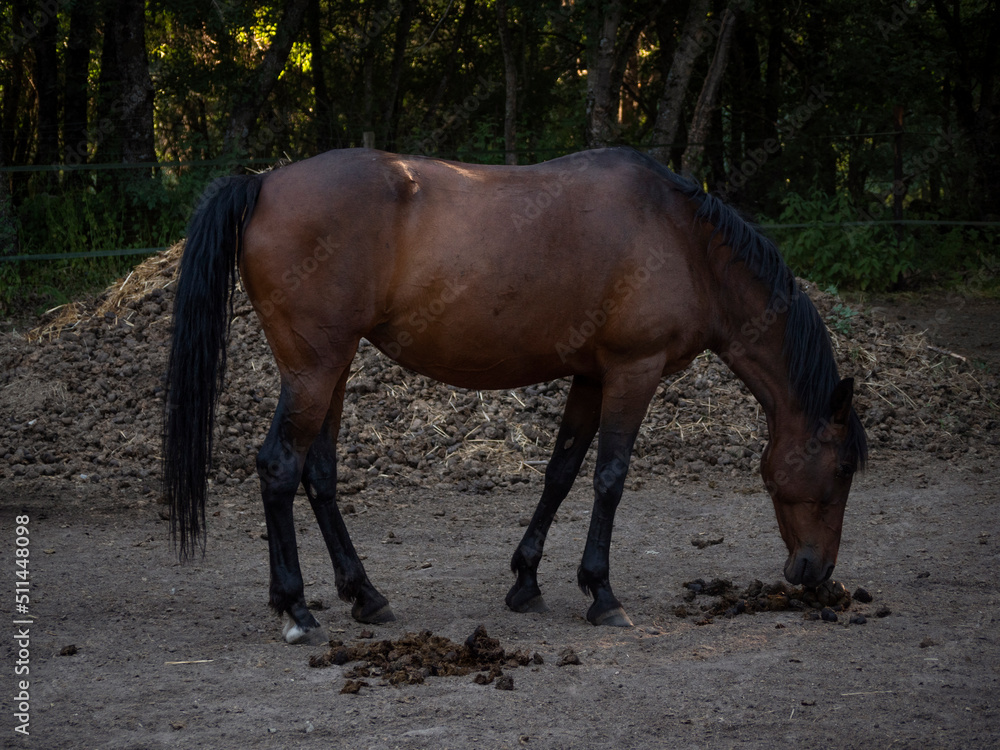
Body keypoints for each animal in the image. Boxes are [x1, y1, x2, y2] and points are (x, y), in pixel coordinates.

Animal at [163, 147, 868, 643]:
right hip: (313, 370)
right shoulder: (632, 371)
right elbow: (610, 477)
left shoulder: (592, 375)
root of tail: (263, 183)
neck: (679, 236)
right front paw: (602, 594)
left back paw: (366, 596)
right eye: (839, 470)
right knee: (279, 467)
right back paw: (296, 609)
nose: (816, 572)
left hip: (330, 372)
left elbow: (561, 471)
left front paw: (527, 579)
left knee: (319, 474)